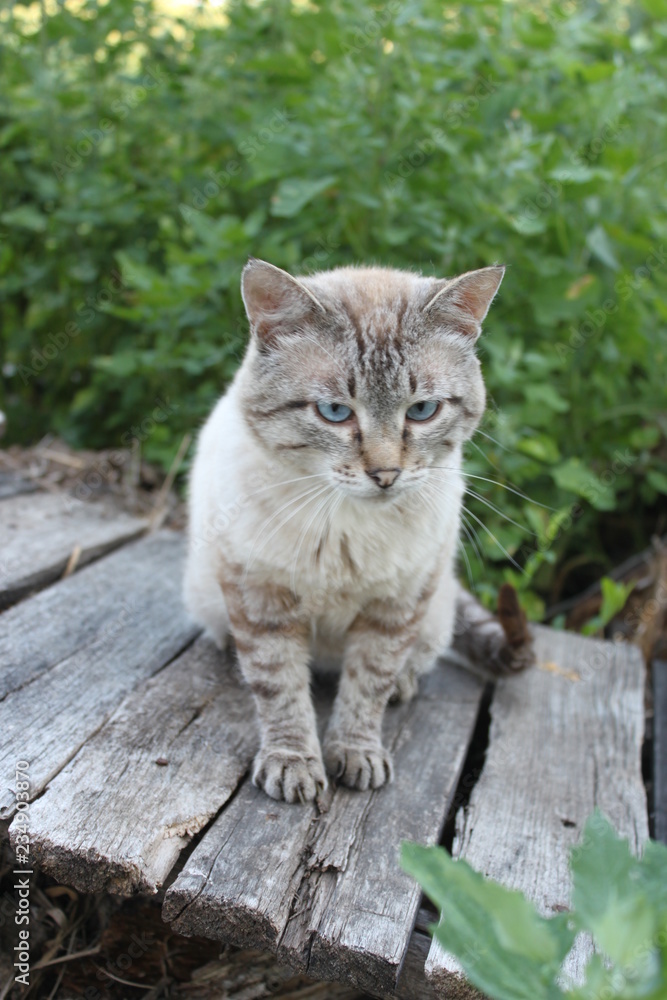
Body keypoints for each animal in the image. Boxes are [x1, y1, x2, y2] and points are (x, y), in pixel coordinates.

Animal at [185, 256, 536, 804]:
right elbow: (279, 687)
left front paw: (356, 754)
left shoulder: (396, 606)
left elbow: (368, 686)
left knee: (416, 659)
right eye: (334, 412)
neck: (346, 523)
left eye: (422, 410)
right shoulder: (261, 598)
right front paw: (293, 764)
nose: (386, 474)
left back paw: (402, 688)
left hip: (433, 603)